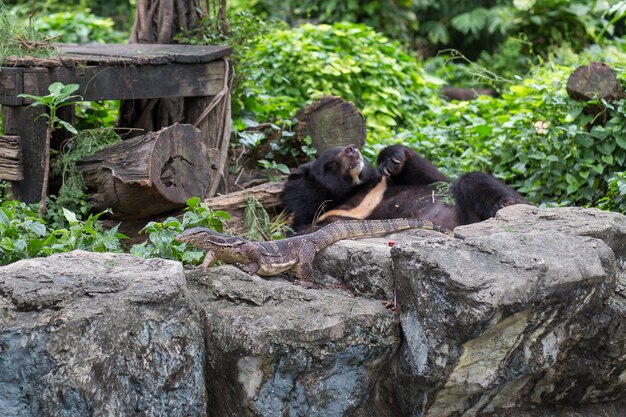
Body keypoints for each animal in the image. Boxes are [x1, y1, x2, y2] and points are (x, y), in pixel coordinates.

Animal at [280, 144, 528, 232]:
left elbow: (433, 178)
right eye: (330, 164)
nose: (351, 148)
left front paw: (392, 158)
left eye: (340, 147)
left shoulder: (383, 183)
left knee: (470, 181)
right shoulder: (324, 218)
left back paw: (507, 203)